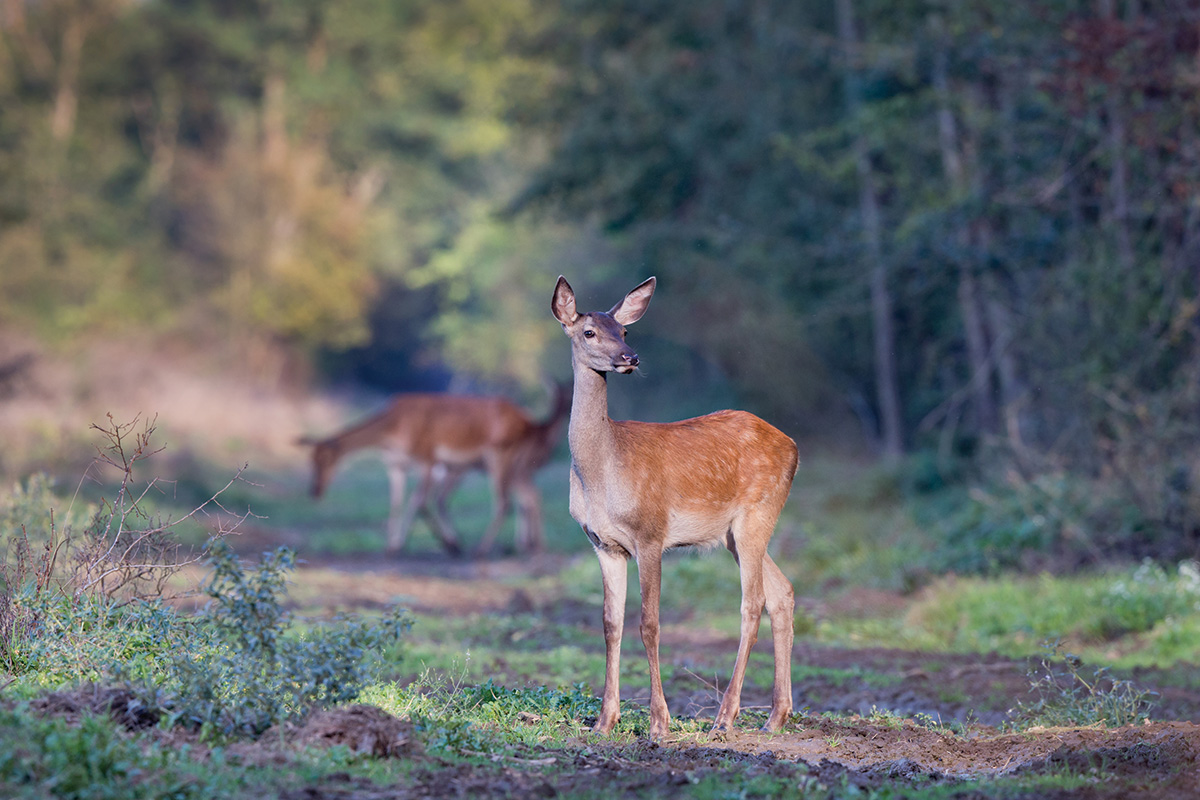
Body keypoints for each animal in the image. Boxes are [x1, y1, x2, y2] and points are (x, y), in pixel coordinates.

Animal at [297, 386, 564, 561]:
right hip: (513, 466)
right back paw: (533, 546)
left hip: (499, 459)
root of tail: (529, 422)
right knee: (529, 496)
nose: (314, 490)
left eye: (326, 460)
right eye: (310, 460)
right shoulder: (396, 466)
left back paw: (484, 549)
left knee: (506, 501)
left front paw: (449, 544)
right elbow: (397, 503)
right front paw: (392, 546)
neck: (392, 430)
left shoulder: (428, 459)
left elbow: (419, 502)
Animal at [552, 275, 796, 738]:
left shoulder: (651, 532)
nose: (629, 357)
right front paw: (604, 721)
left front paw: (658, 723)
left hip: (758, 512)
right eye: (589, 331)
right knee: (783, 593)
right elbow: (611, 624)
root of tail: (793, 446)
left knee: (752, 601)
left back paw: (725, 716)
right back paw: (776, 716)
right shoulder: (603, 544)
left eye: (624, 330)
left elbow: (650, 623)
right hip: (733, 533)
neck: (602, 471)